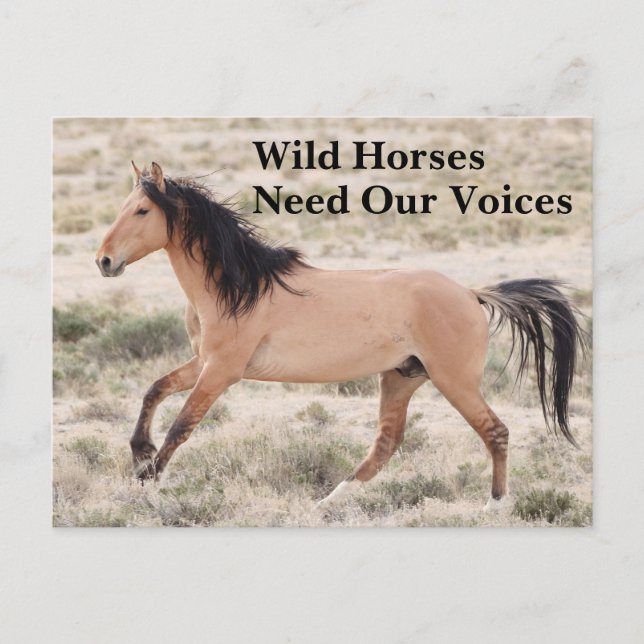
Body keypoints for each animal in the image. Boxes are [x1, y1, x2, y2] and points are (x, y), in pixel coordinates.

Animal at [95, 161, 585, 509]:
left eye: (142, 210)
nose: (104, 261)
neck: (236, 287)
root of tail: (470, 293)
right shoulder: (202, 362)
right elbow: (154, 389)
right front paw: (140, 455)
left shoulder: (221, 371)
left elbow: (182, 424)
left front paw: (148, 479)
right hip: (402, 377)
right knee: (386, 445)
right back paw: (327, 502)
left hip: (454, 381)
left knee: (495, 431)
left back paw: (495, 505)